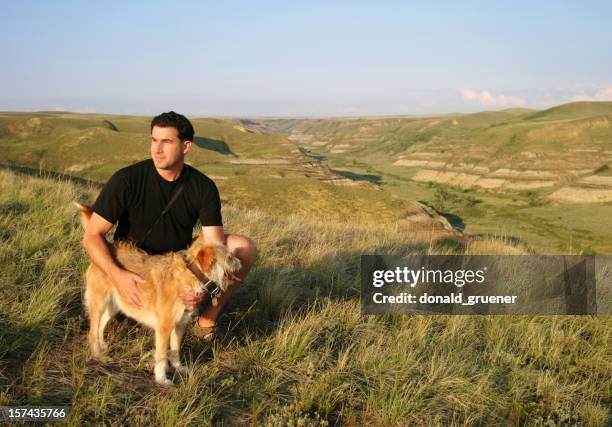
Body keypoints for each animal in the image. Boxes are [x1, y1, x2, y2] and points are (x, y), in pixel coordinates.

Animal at [74, 202, 241, 386]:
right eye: (229, 257)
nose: (240, 262)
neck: (190, 275)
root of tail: (108, 246)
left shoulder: (180, 324)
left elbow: (175, 350)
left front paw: (179, 368)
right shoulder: (164, 327)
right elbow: (161, 355)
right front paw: (162, 379)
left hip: (116, 304)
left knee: (102, 324)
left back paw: (103, 347)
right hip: (99, 302)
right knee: (93, 331)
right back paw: (98, 355)